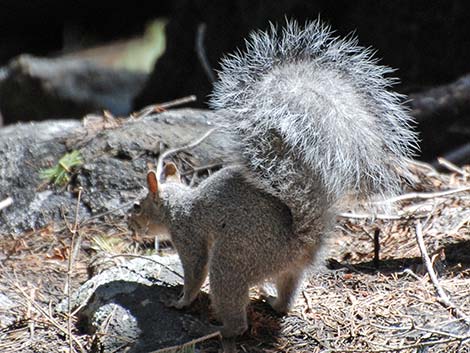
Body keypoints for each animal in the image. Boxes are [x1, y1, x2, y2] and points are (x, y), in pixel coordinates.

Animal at [126, 19, 416, 352]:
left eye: (137, 205)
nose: (128, 224)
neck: (178, 205)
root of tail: (299, 242)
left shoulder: (188, 235)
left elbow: (195, 272)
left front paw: (180, 301)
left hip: (232, 261)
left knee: (235, 316)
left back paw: (211, 328)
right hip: (289, 270)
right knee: (287, 296)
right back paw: (272, 301)